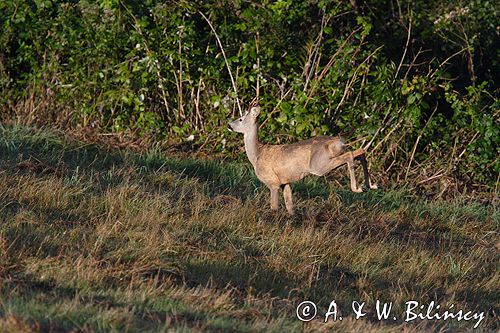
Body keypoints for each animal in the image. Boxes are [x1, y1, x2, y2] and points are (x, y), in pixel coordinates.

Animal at [229, 104, 376, 215]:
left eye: (241, 119)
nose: (229, 125)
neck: (257, 154)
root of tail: (339, 141)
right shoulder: (285, 182)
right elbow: (290, 206)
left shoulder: (273, 182)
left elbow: (274, 207)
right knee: (360, 151)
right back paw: (371, 185)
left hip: (319, 164)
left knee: (350, 154)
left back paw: (357, 188)